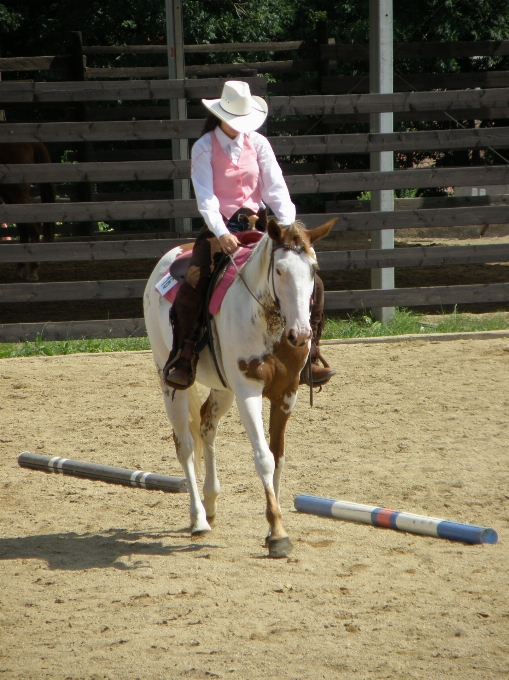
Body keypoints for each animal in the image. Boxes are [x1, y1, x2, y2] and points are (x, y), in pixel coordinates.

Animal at [143, 218, 336, 556]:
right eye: (279, 270)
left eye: (313, 269)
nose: (301, 334)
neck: (270, 325)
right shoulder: (249, 392)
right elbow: (264, 458)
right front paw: (277, 533)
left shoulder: (287, 393)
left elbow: (278, 456)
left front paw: (276, 524)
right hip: (170, 382)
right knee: (185, 445)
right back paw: (198, 519)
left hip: (224, 389)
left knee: (206, 425)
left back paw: (210, 503)